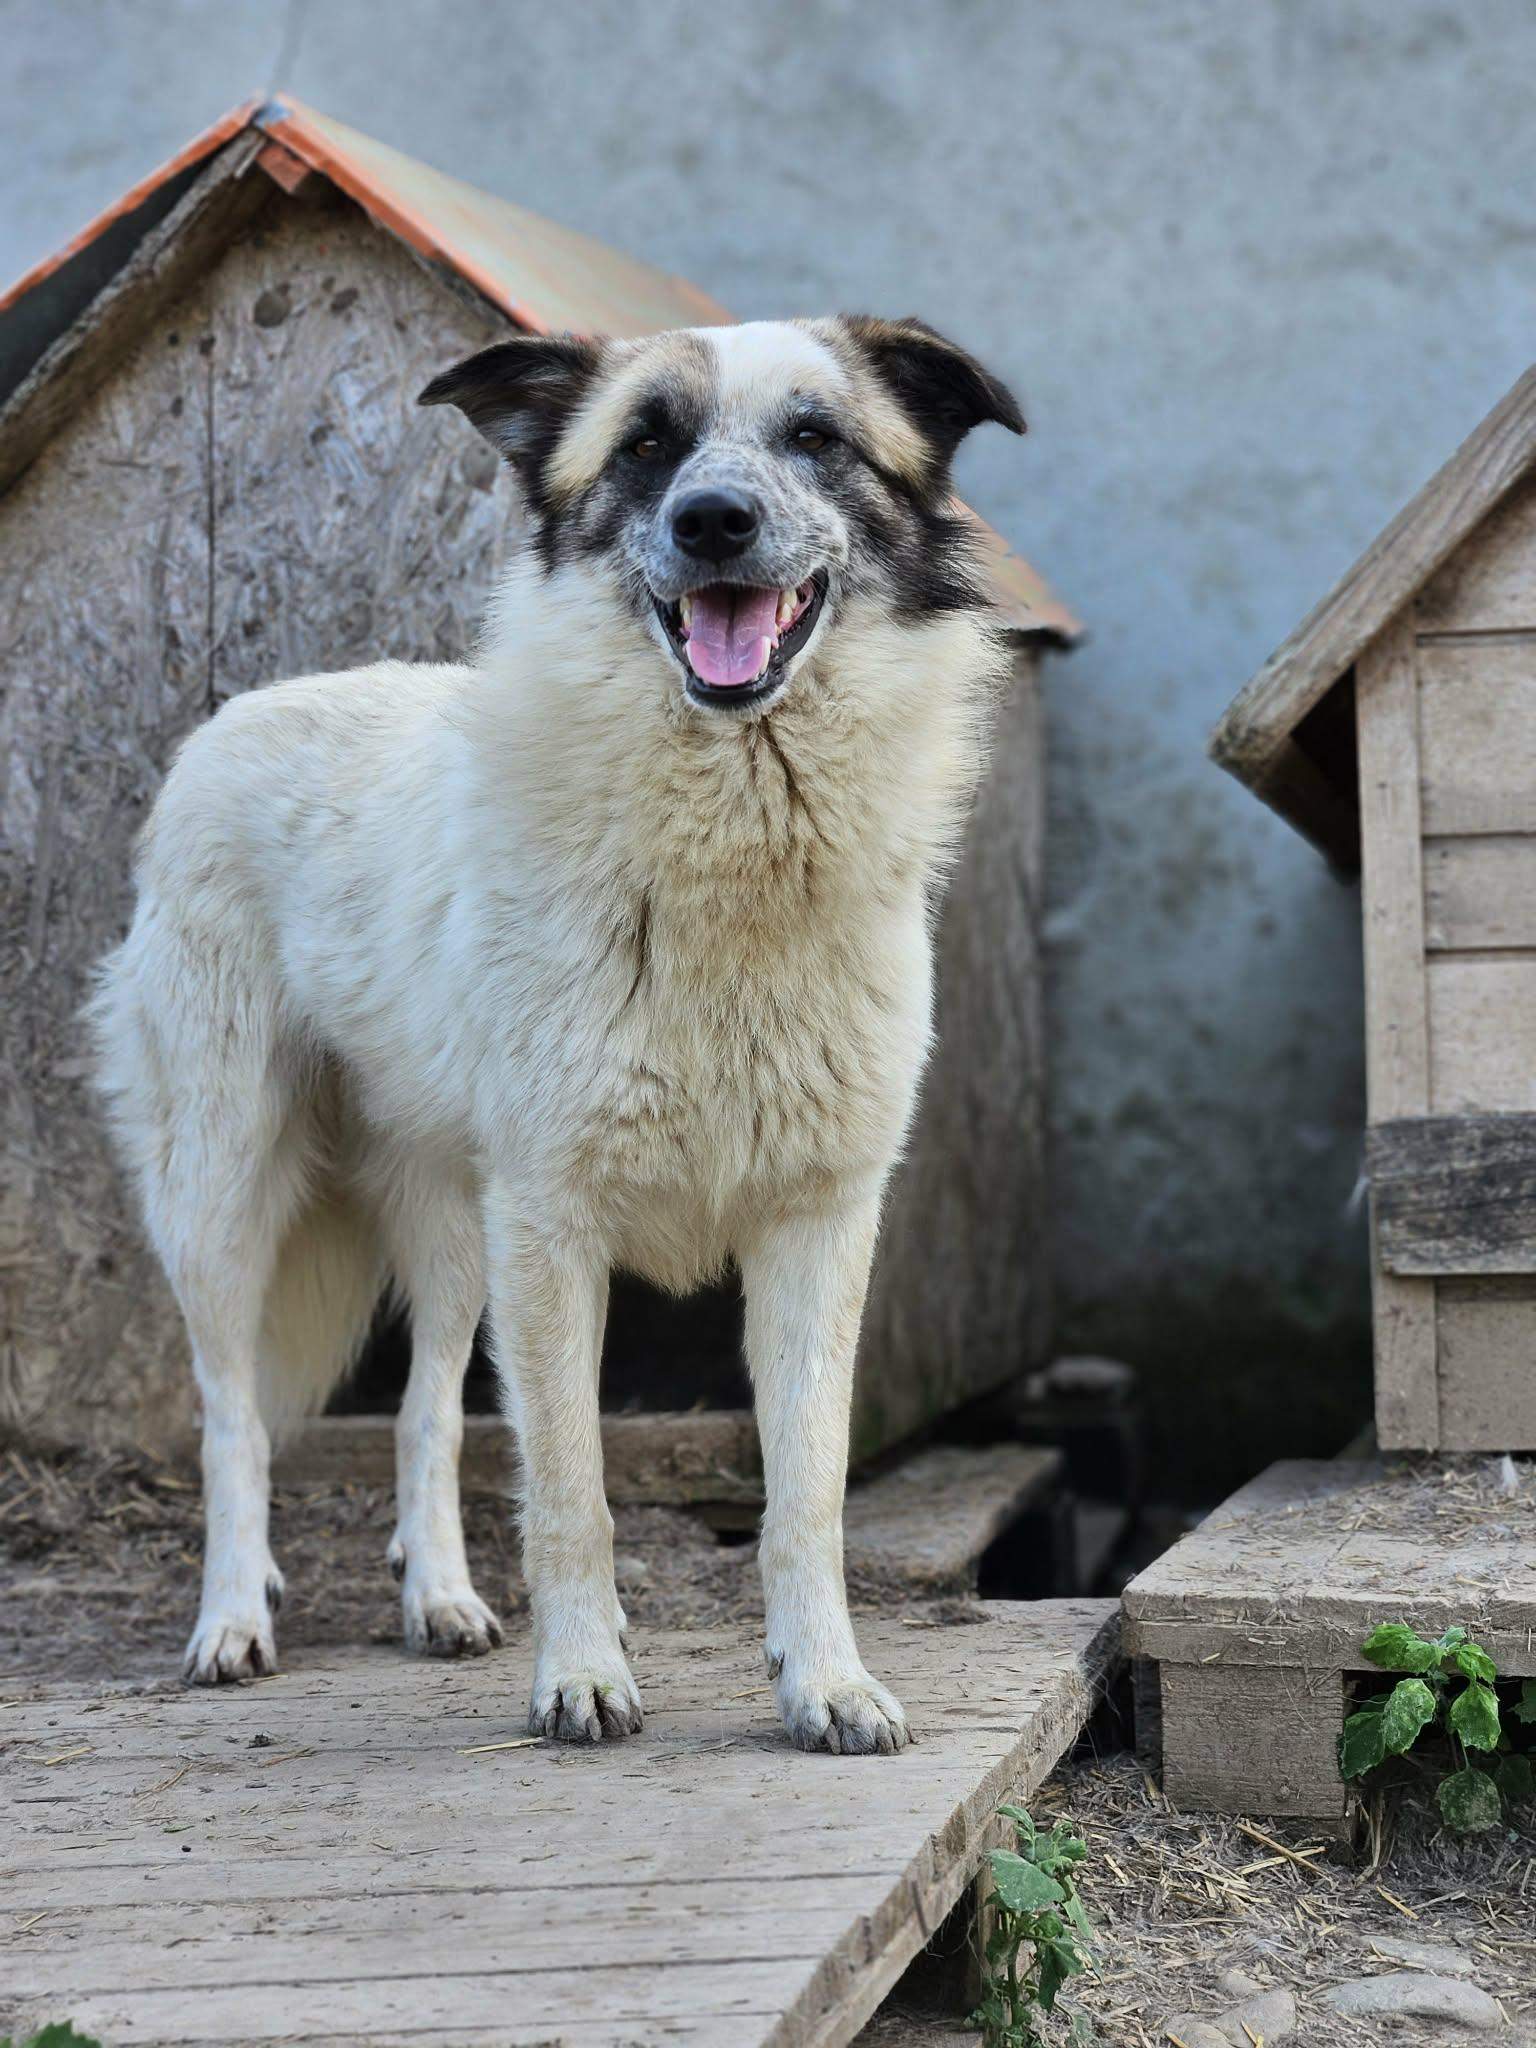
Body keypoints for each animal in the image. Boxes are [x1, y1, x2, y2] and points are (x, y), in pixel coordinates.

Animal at [89, 315, 1025, 1753]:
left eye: (815, 436)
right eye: (645, 444)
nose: (712, 521)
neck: (728, 843)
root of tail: (242, 713)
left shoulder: (815, 1224)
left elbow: (803, 1497)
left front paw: (826, 1682)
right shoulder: (554, 1222)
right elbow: (573, 1486)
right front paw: (581, 1677)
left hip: (452, 1227)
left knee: (423, 1411)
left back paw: (443, 1602)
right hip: (226, 1194)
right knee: (231, 1416)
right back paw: (233, 1618)